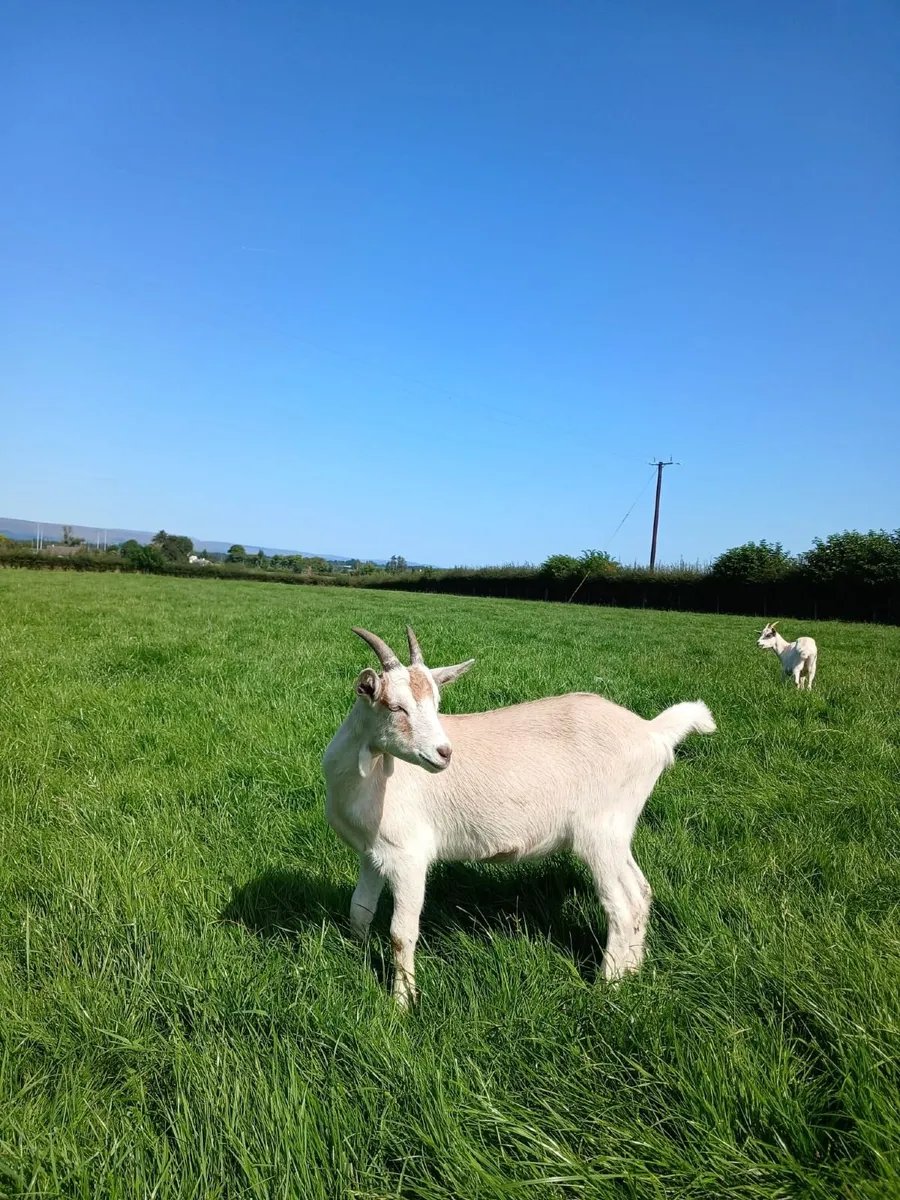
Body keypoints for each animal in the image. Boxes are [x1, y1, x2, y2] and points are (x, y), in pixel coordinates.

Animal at [322, 626, 716, 1005]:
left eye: (436, 704)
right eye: (395, 707)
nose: (444, 753)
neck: (368, 775)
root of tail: (651, 731)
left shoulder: (409, 855)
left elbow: (401, 934)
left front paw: (401, 1005)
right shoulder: (372, 852)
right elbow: (360, 909)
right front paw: (355, 958)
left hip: (599, 834)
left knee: (622, 906)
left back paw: (607, 987)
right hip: (618, 832)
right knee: (641, 892)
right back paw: (633, 973)